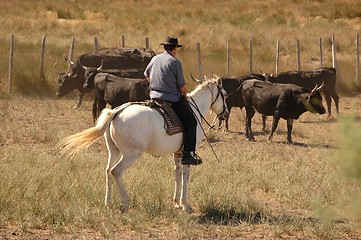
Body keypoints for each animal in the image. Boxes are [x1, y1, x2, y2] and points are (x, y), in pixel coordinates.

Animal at [60, 76, 226, 213]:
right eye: (224, 94)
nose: (224, 115)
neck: (194, 110)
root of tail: (116, 112)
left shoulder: (178, 153)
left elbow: (177, 175)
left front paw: (177, 203)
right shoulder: (188, 153)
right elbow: (185, 177)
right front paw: (185, 205)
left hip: (114, 151)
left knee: (108, 171)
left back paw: (108, 203)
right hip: (131, 155)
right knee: (116, 171)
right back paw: (125, 203)